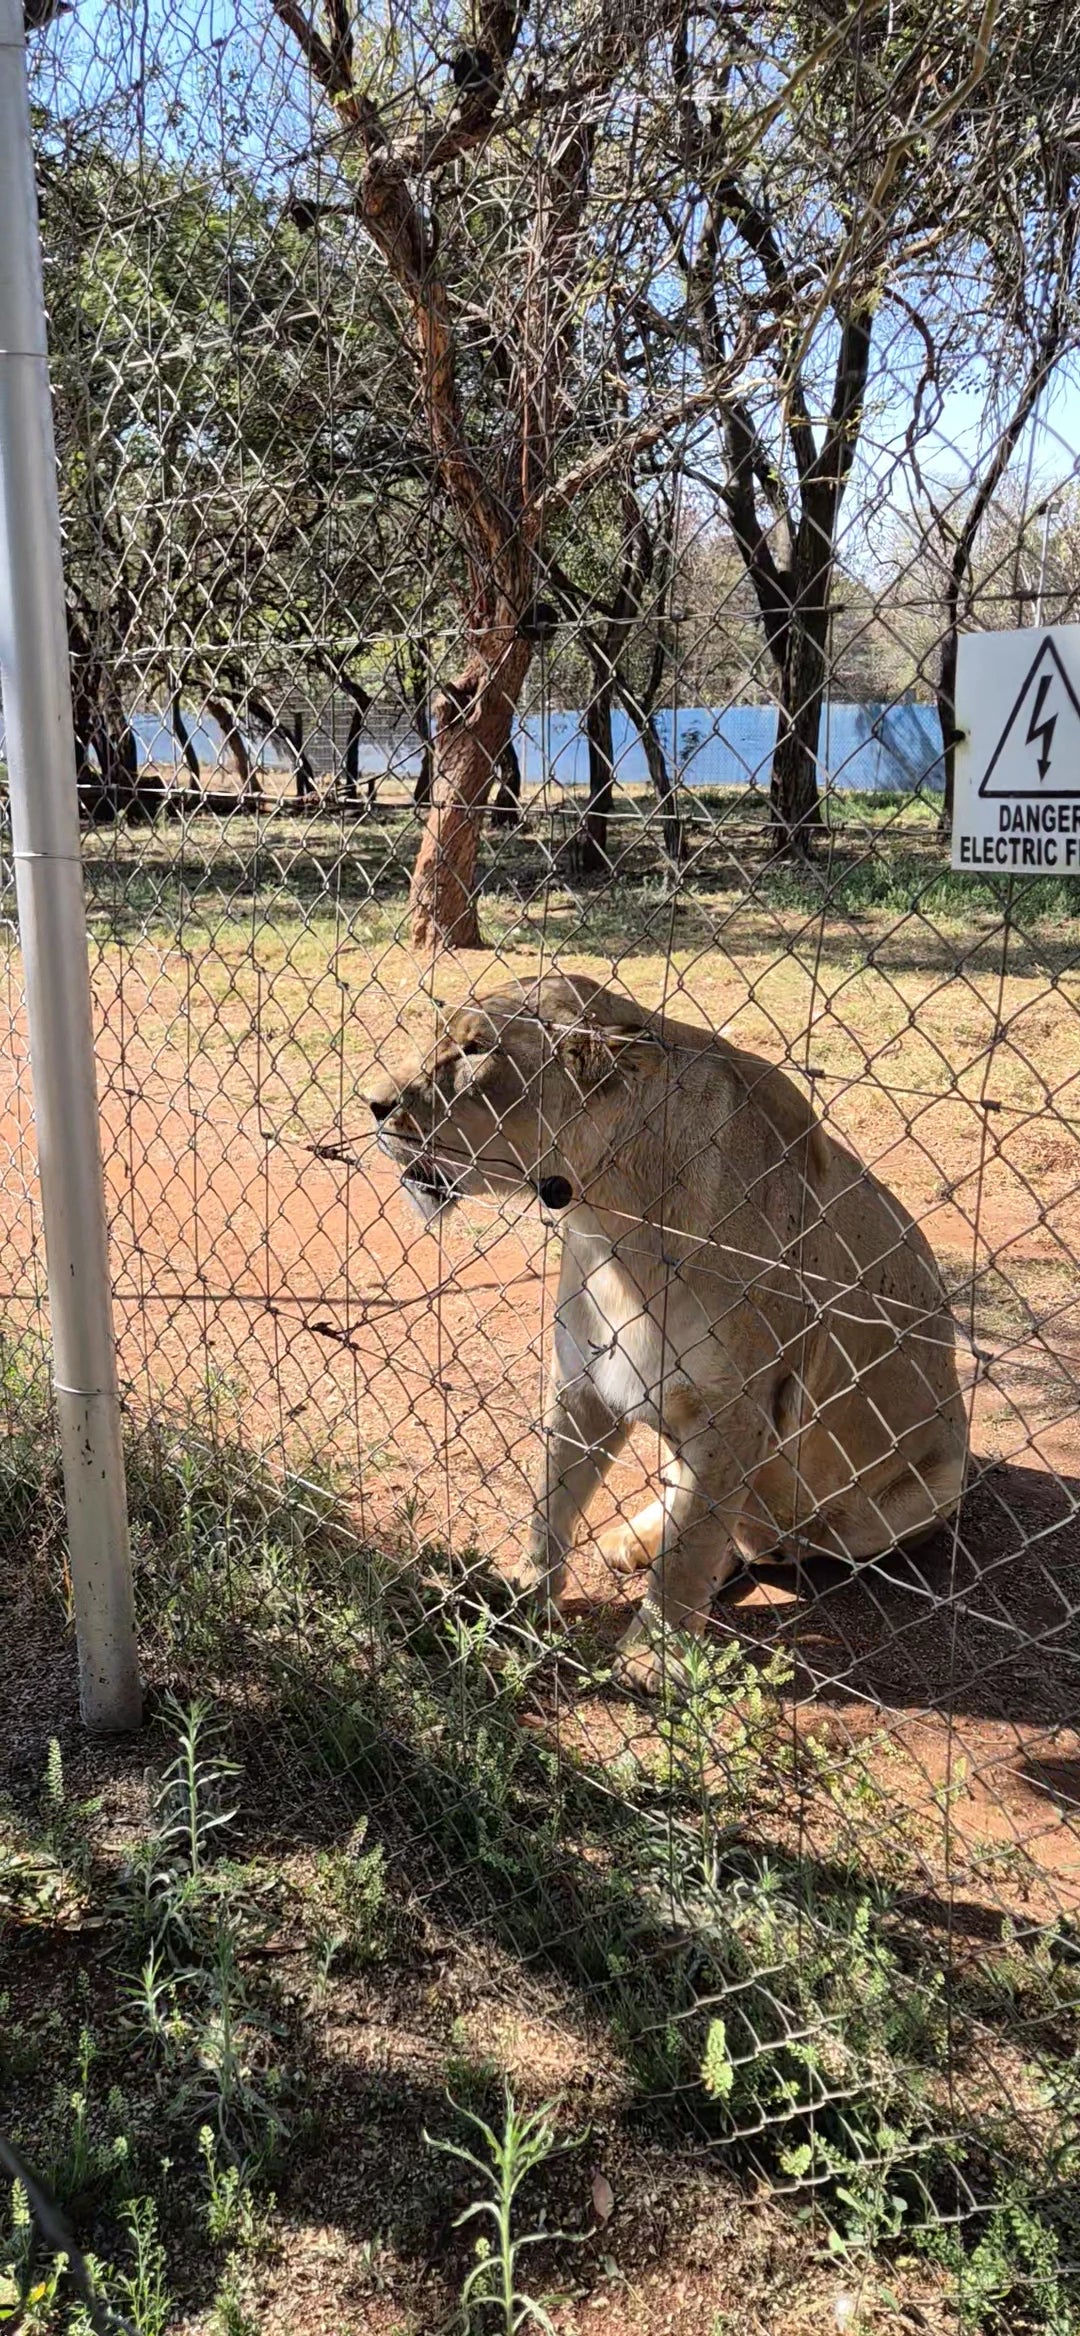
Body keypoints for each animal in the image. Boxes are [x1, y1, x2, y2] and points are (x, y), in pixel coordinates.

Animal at [364, 975, 968, 1688]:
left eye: (477, 1050)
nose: (373, 1105)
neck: (611, 1212)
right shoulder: (586, 1378)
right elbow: (551, 1500)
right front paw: (522, 1594)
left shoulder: (736, 1412)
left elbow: (693, 1543)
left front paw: (653, 1657)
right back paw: (632, 1541)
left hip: (920, 1491)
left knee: (769, 1542)